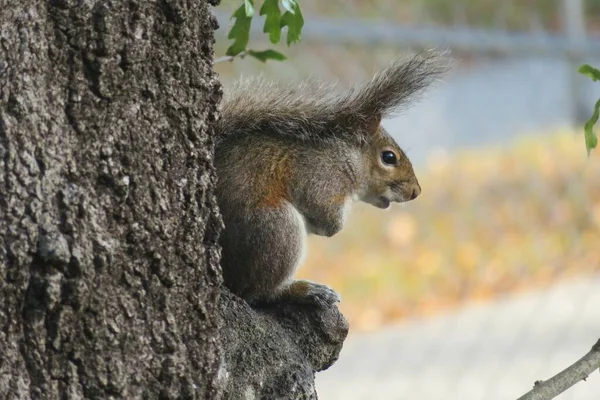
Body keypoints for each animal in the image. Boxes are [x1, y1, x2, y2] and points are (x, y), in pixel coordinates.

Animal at [213, 51, 448, 308]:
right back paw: (305, 290)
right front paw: (334, 226)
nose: (416, 192)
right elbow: (323, 214)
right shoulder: (319, 175)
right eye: (389, 157)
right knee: (259, 292)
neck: (346, 157)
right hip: (276, 228)